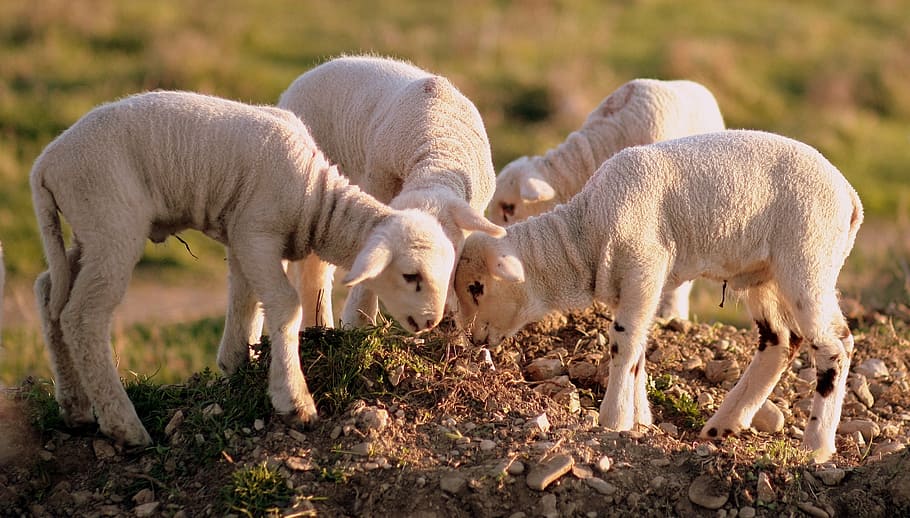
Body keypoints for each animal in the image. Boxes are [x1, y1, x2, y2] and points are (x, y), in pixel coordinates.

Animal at [31, 90, 458, 446]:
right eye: (411, 276)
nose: (431, 321)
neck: (316, 200)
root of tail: (46, 163)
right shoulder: (257, 231)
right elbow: (285, 305)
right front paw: (293, 399)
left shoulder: (242, 235)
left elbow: (245, 297)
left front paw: (236, 362)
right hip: (110, 222)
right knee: (82, 316)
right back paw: (124, 426)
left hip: (88, 231)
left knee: (50, 293)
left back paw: (75, 408)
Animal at [454, 129, 863, 462]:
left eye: (477, 287)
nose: (472, 338)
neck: (584, 235)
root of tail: (851, 196)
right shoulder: (633, 283)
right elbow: (636, 347)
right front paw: (640, 419)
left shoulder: (644, 264)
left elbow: (623, 342)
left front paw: (613, 420)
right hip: (764, 274)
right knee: (780, 341)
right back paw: (724, 424)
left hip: (809, 257)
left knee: (836, 345)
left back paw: (817, 446)